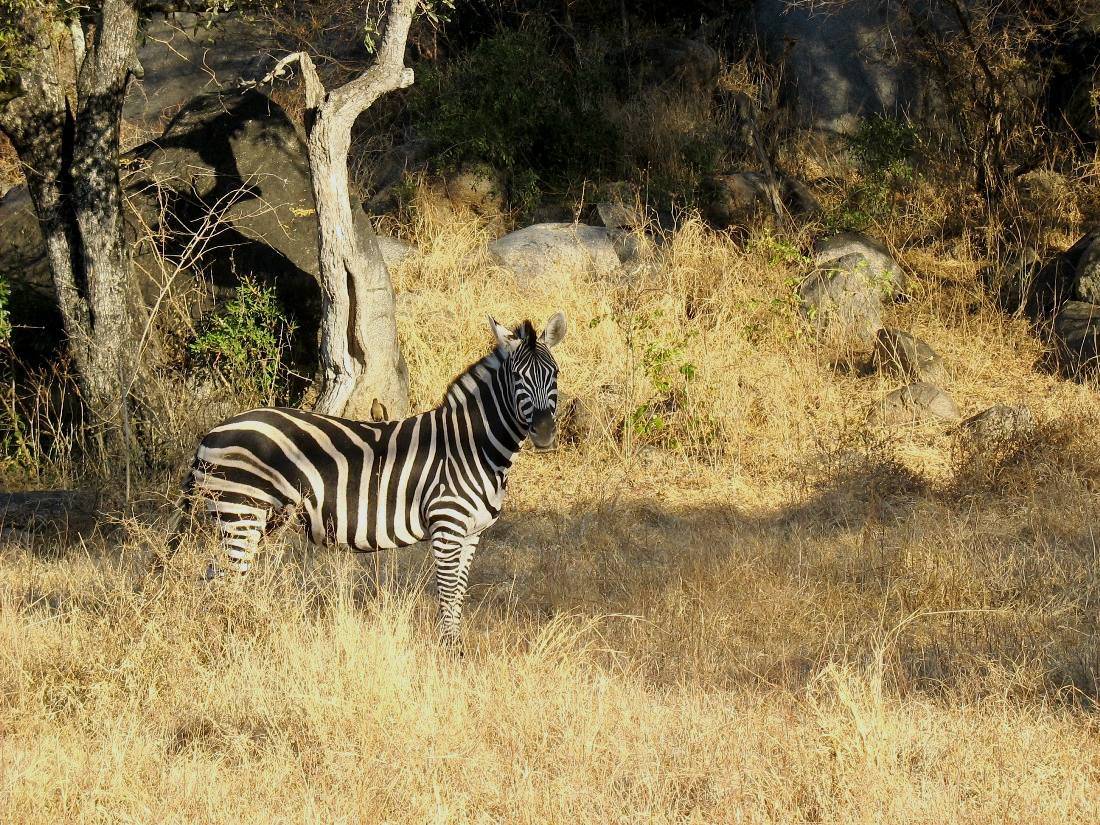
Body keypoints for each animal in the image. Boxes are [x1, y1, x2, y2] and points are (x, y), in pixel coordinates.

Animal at [168, 312, 567, 646]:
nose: (546, 432)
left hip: (250, 517)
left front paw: (456, 647)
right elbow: (448, 591)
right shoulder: (447, 526)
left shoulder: (472, 533)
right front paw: (450, 650)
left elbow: (459, 593)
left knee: (215, 577)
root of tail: (213, 431)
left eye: (556, 375)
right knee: (228, 582)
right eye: (517, 378)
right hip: (241, 512)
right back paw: (235, 640)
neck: (472, 445)